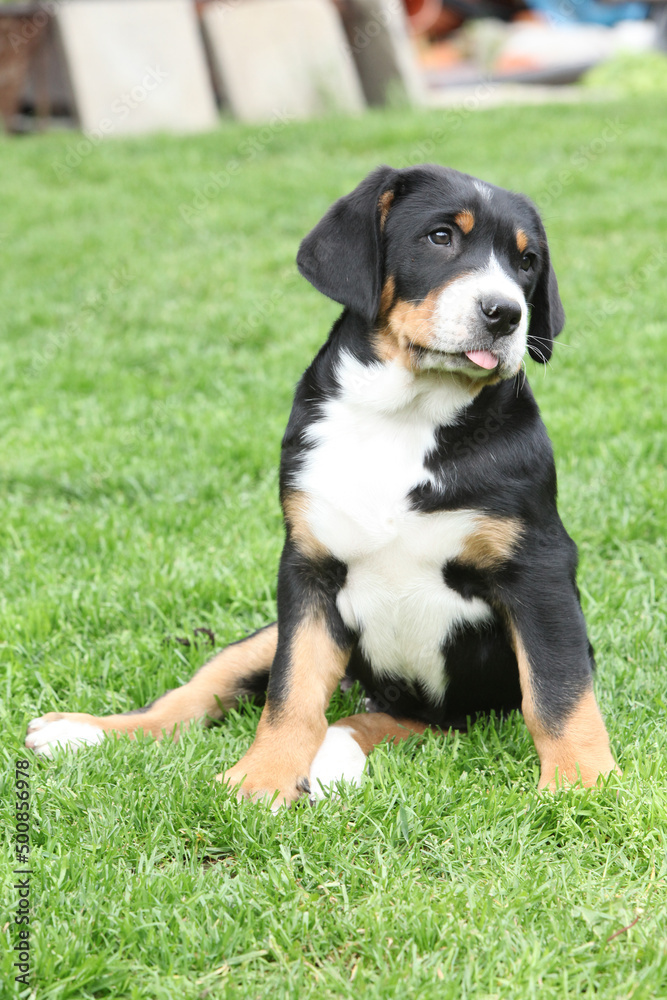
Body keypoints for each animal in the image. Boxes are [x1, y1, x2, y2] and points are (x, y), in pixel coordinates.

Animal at [27, 164, 620, 804]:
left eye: (526, 261)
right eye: (440, 237)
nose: (506, 314)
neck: (405, 415)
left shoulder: (537, 568)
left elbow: (558, 687)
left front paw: (583, 785)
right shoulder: (307, 571)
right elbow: (291, 692)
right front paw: (259, 779)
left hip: (453, 710)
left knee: (382, 720)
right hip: (268, 633)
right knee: (197, 693)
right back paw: (80, 731)